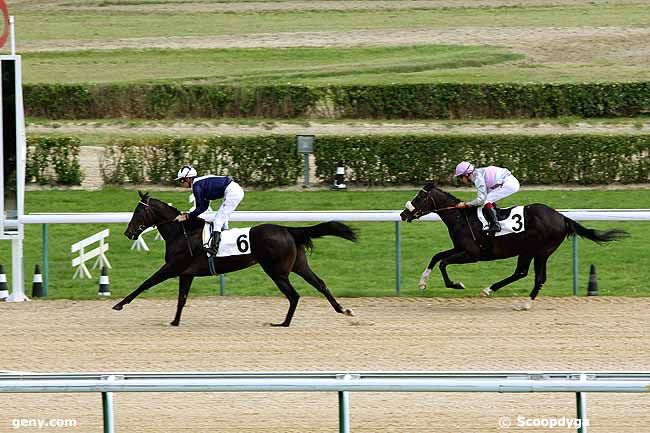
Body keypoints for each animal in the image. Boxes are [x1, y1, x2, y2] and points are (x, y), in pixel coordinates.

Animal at [112, 191, 354, 326]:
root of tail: (287, 229)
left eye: (138, 212)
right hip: (298, 265)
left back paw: (283, 323)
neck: (182, 232)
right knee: (320, 283)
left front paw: (119, 304)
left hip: (276, 271)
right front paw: (174, 322)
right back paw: (343, 310)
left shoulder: (172, 267)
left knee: (294, 295)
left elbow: (146, 283)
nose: (128, 232)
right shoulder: (186, 273)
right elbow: (182, 299)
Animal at [398, 181, 624, 308]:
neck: (462, 217)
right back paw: (491, 290)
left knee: (537, 277)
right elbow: (436, 256)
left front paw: (457, 284)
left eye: (419, 198)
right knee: (521, 273)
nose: (403, 214)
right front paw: (422, 282)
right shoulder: (460, 249)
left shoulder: (472, 254)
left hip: (541, 251)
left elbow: (444, 263)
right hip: (527, 251)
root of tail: (561, 217)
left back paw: (524, 303)